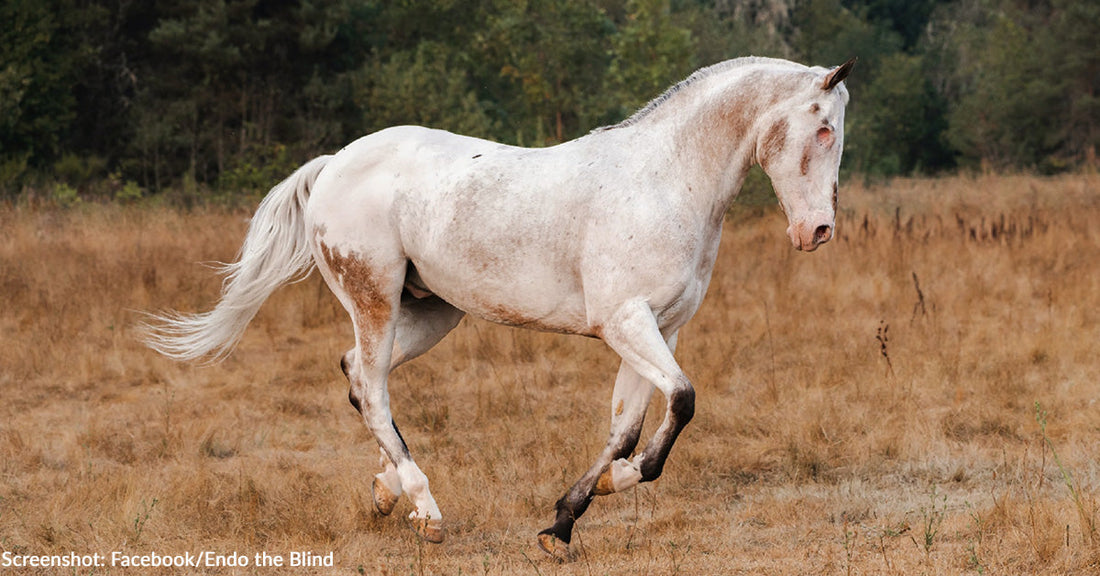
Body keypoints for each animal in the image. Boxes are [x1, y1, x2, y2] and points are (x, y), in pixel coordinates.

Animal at [144, 55, 854, 561]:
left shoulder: (660, 329)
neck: (666, 180)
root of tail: (333, 164)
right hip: (375, 298)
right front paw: (610, 488)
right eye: (822, 128)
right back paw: (426, 511)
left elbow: (626, 427)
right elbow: (681, 401)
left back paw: (386, 494)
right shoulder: (626, 322)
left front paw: (565, 521)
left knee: (356, 375)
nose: (817, 232)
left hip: (432, 312)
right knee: (371, 385)